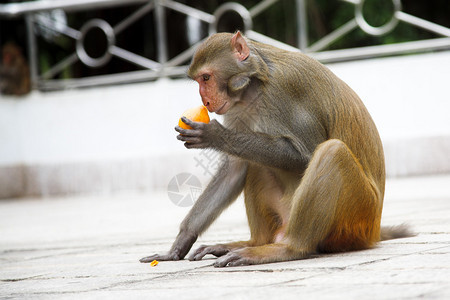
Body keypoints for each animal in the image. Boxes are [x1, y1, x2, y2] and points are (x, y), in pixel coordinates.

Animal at [141, 31, 412, 266]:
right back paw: (251, 243)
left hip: (354, 220)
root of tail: (374, 230)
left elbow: (306, 154)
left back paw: (287, 249)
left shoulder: (288, 88)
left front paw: (216, 135)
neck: (253, 87)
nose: (205, 101)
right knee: (255, 163)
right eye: (199, 80)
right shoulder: (236, 108)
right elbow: (234, 168)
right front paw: (179, 243)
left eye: (206, 78)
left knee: (332, 152)